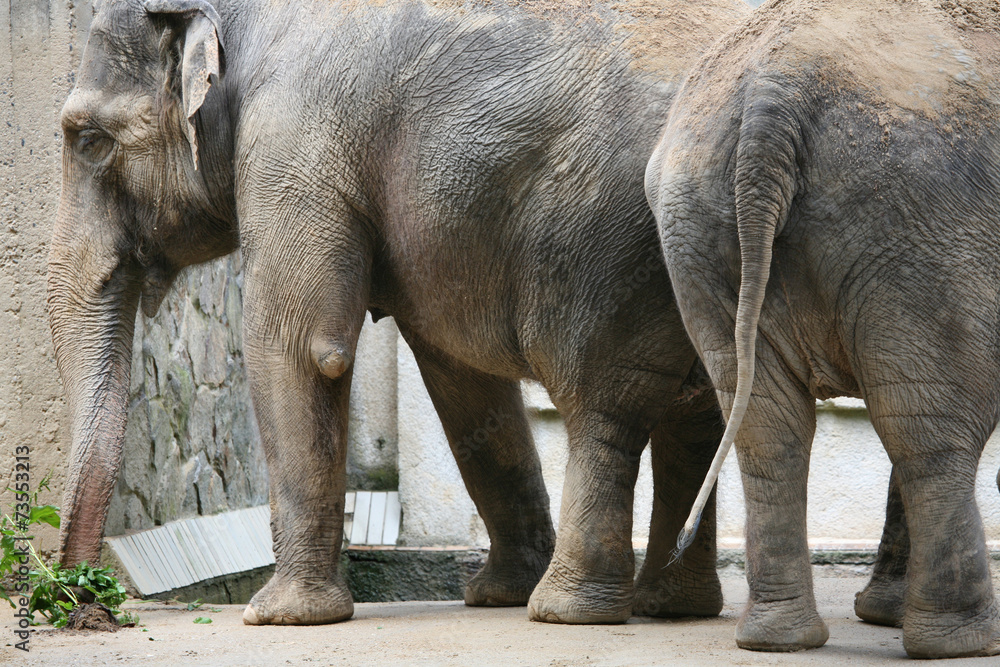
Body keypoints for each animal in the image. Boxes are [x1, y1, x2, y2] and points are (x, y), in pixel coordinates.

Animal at [47, 0, 750, 626]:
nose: (79, 598)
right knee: (692, 415)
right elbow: (464, 384)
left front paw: (278, 617)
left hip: (606, 246)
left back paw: (568, 612)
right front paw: (495, 595)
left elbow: (302, 348)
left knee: (603, 404)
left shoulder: (294, 144)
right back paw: (668, 606)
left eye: (89, 141)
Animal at [646, 0, 1000, 658]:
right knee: (930, 431)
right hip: (917, 223)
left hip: (693, 223)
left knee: (766, 426)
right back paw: (962, 643)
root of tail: (774, 91)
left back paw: (778, 640)